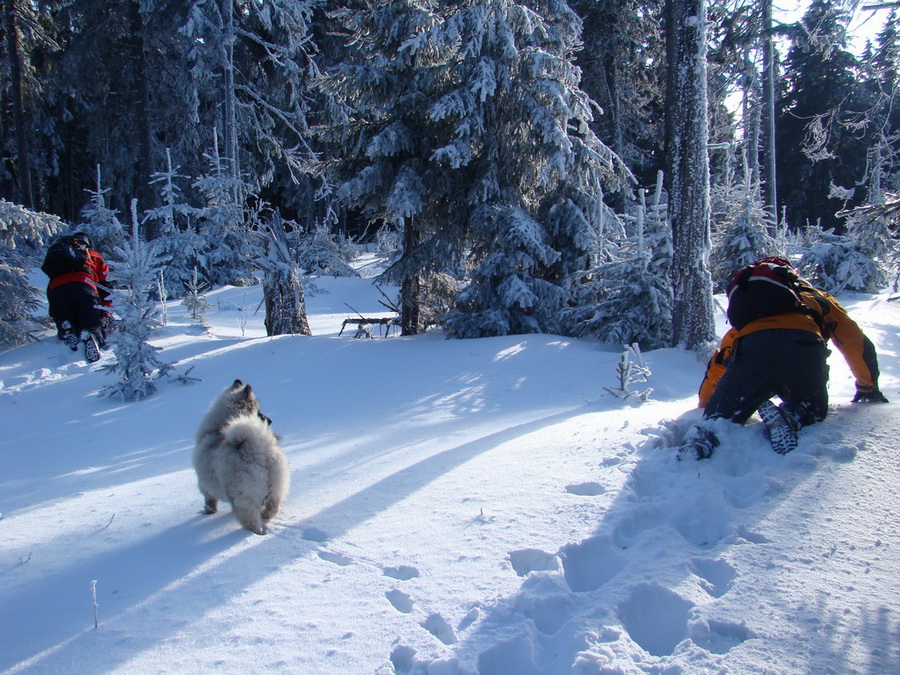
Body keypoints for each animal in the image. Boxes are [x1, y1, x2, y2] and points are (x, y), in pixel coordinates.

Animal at [192, 380, 288, 532]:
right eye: (259, 412)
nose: (270, 420)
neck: (217, 430)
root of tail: (256, 449)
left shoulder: (204, 484)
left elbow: (209, 500)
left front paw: (208, 510)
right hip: (276, 486)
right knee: (273, 506)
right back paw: (265, 516)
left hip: (243, 497)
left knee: (250, 518)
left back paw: (254, 532)